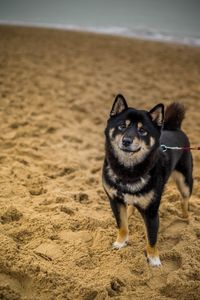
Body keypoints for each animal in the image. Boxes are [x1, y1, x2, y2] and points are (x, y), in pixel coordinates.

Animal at [102, 95, 193, 266]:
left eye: (142, 130)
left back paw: (186, 219)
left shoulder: (151, 212)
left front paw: (154, 259)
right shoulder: (115, 201)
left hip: (185, 182)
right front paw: (121, 242)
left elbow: (152, 238)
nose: (126, 141)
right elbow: (122, 225)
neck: (128, 170)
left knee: (184, 200)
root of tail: (175, 128)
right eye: (122, 126)